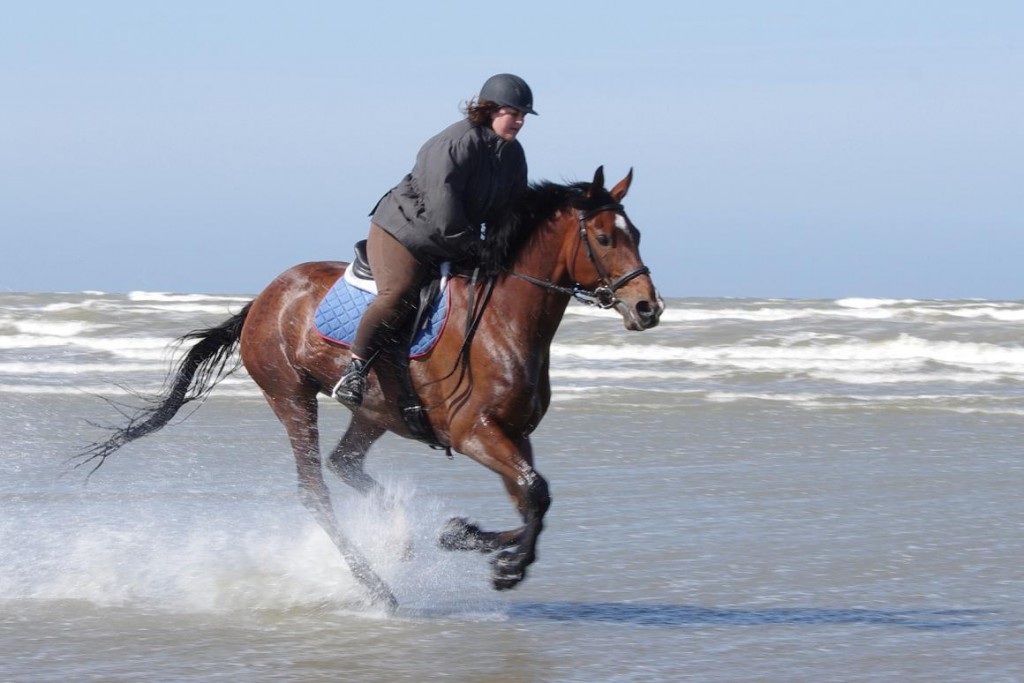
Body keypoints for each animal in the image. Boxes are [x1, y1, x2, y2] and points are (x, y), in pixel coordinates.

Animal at [77, 167, 663, 610]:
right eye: (605, 238)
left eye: (636, 234)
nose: (647, 308)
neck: (503, 321)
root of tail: (265, 297)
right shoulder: (475, 433)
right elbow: (536, 493)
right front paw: (505, 567)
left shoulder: (514, 434)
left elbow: (530, 500)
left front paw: (464, 536)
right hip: (291, 397)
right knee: (316, 491)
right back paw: (377, 587)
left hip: (378, 412)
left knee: (345, 463)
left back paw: (400, 539)